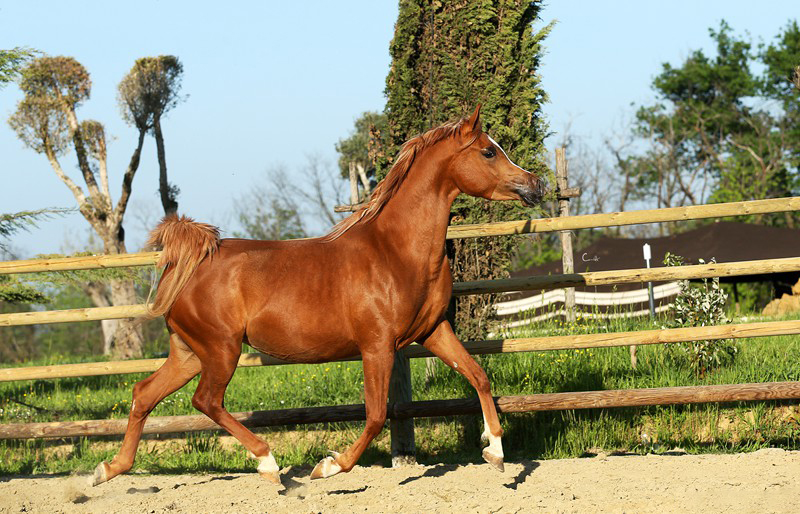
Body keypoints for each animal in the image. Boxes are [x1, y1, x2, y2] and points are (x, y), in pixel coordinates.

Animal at [91, 105, 546, 486]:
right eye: (488, 152)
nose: (536, 184)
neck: (396, 251)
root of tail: (189, 265)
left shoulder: (432, 332)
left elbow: (479, 376)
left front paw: (496, 453)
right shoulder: (377, 346)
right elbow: (376, 415)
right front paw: (329, 467)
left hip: (189, 352)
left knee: (144, 394)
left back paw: (107, 470)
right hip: (221, 350)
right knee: (206, 401)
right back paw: (269, 463)